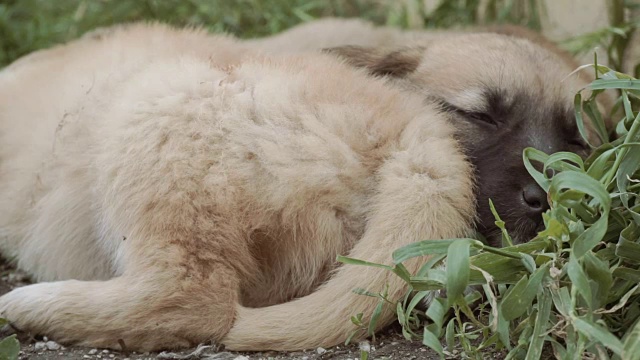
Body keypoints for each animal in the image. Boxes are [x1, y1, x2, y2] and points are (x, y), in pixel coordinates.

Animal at [1, 20, 604, 352]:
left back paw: (31, 306)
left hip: (155, 109)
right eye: (479, 116)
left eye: (576, 139)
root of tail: (419, 135)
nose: (550, 196)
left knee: (194, 298)